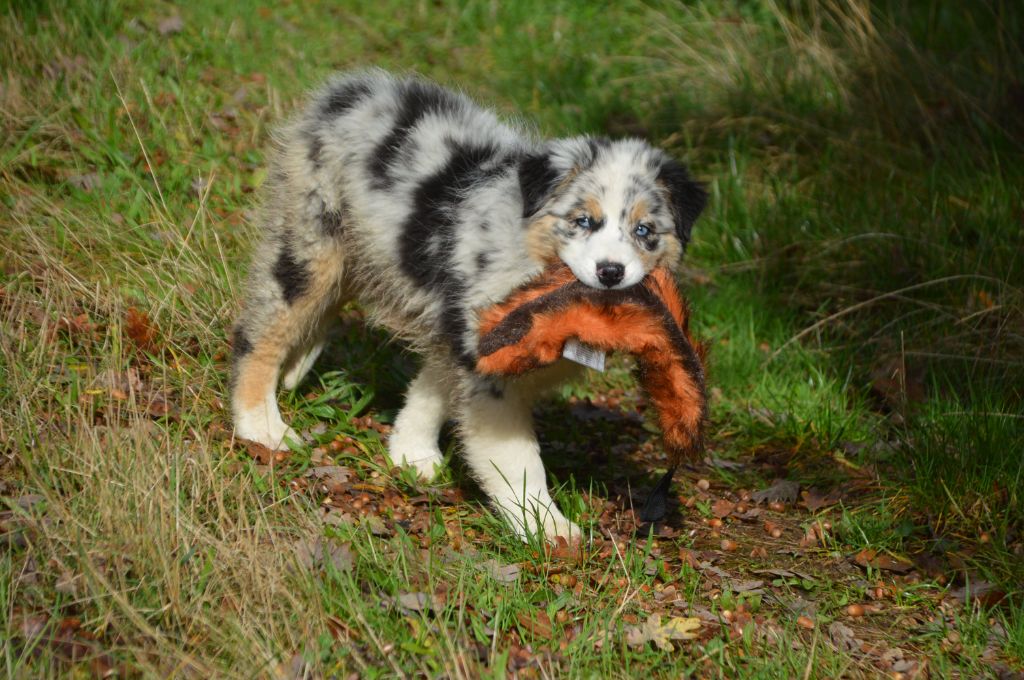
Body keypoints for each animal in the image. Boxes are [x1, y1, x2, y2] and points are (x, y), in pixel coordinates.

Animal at [233, 70, 708, 540]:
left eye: (645, 230)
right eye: (583, 221)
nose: (611, 272)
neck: (529, 249)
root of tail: (348, 90)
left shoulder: (457, 329)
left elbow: (431, 390)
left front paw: (411, 452)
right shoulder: (488, 361)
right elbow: (517, 457)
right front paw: (547, 527)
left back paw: (294, 372)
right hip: (310, 240)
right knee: (260, 333)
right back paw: (261, 425)